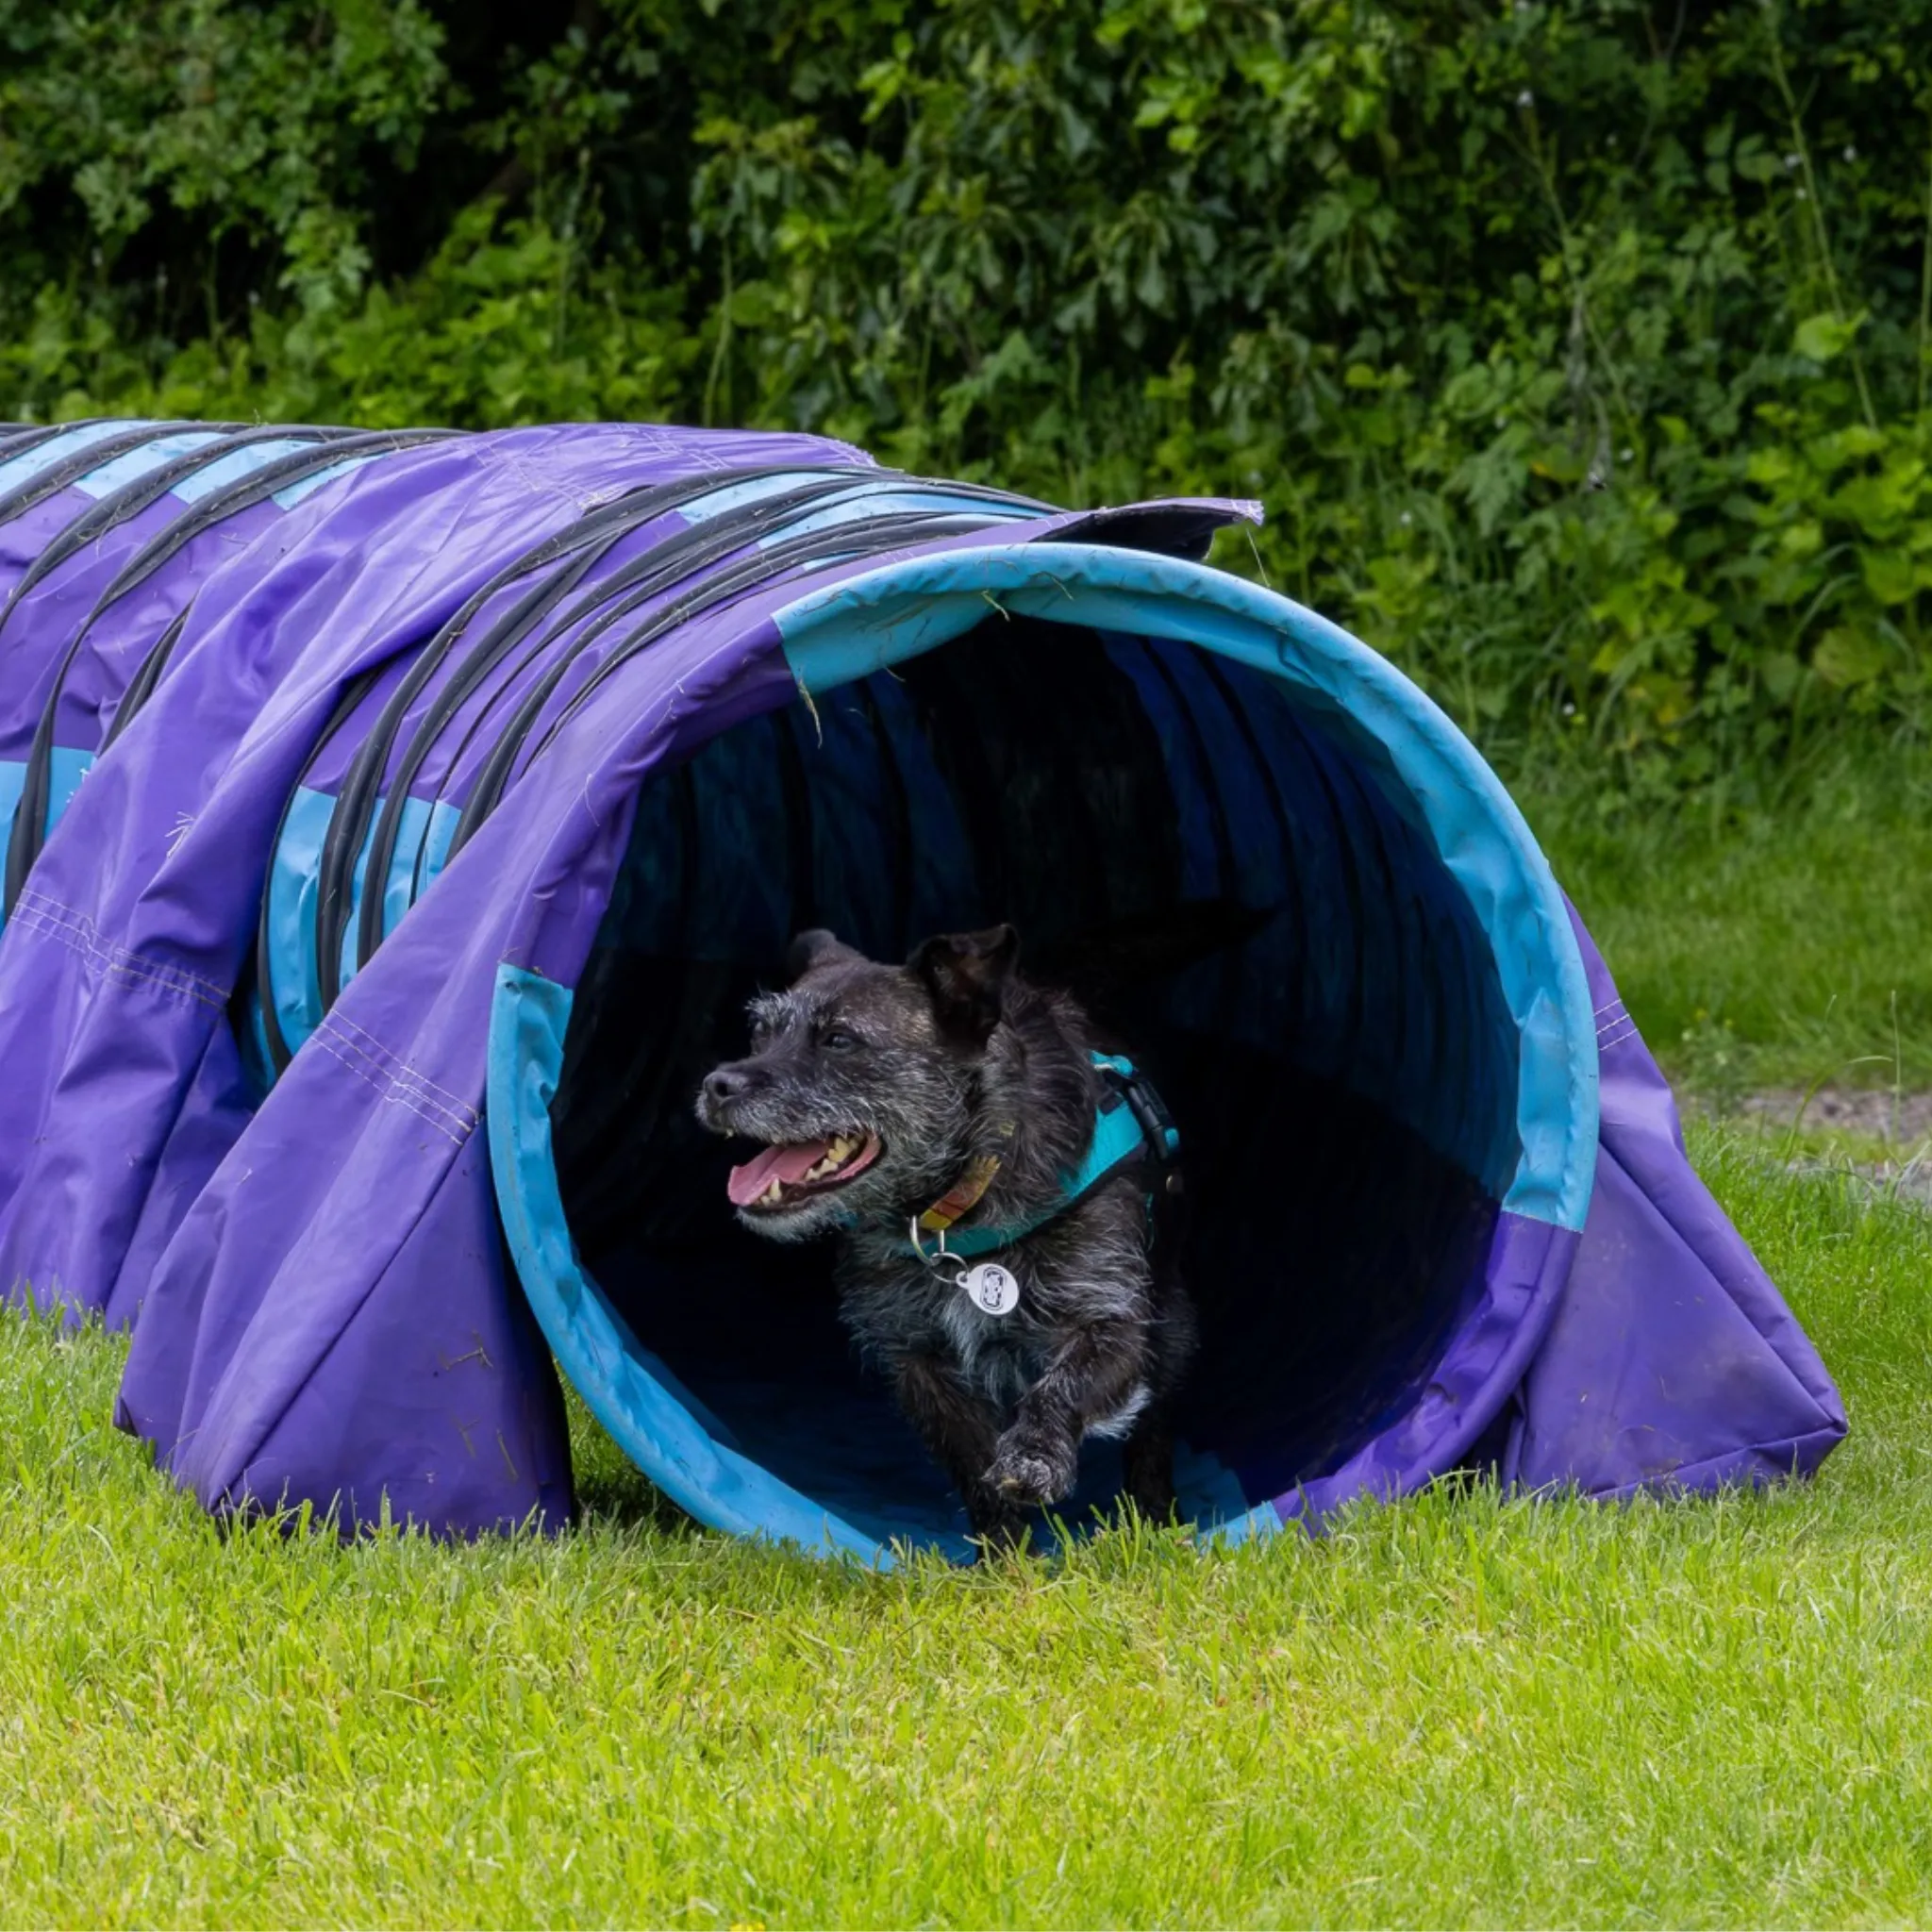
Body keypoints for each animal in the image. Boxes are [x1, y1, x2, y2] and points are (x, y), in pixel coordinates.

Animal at [688, 927, 1182, 1545]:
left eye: (839, 1040)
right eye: (760, 1032)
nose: (718, 1083)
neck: (954, 1208)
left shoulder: (1111, 1314)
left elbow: (1063, 1384)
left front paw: (1034, 1455)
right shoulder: (915, 1355)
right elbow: (970, 1461)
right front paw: (1005, 1551)